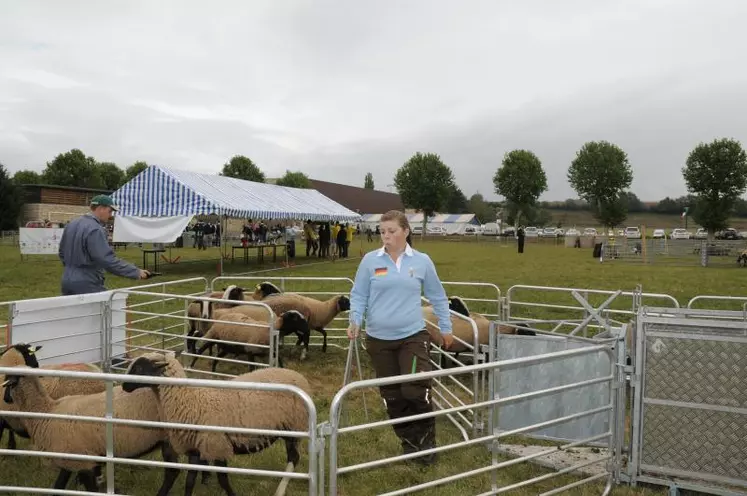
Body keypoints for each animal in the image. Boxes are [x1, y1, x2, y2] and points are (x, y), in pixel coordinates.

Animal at [1, 366, 180, 494]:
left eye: (7, 383)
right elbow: (58, 486)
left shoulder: (83, 462)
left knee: (173, 472)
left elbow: (90, 490)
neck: (46, 410)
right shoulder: (71, 459)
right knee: (174, 472)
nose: (5, 399)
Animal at [122, 350, 312, 496]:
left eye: (139, 368)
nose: (124, 386)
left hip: (293, 428)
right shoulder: (196, 449)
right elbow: (190, 480)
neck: (189, 400)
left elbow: (223, 480)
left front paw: (233, 494)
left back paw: (279, 491)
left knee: (293, 458)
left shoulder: (218, 445)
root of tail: (297, 375)